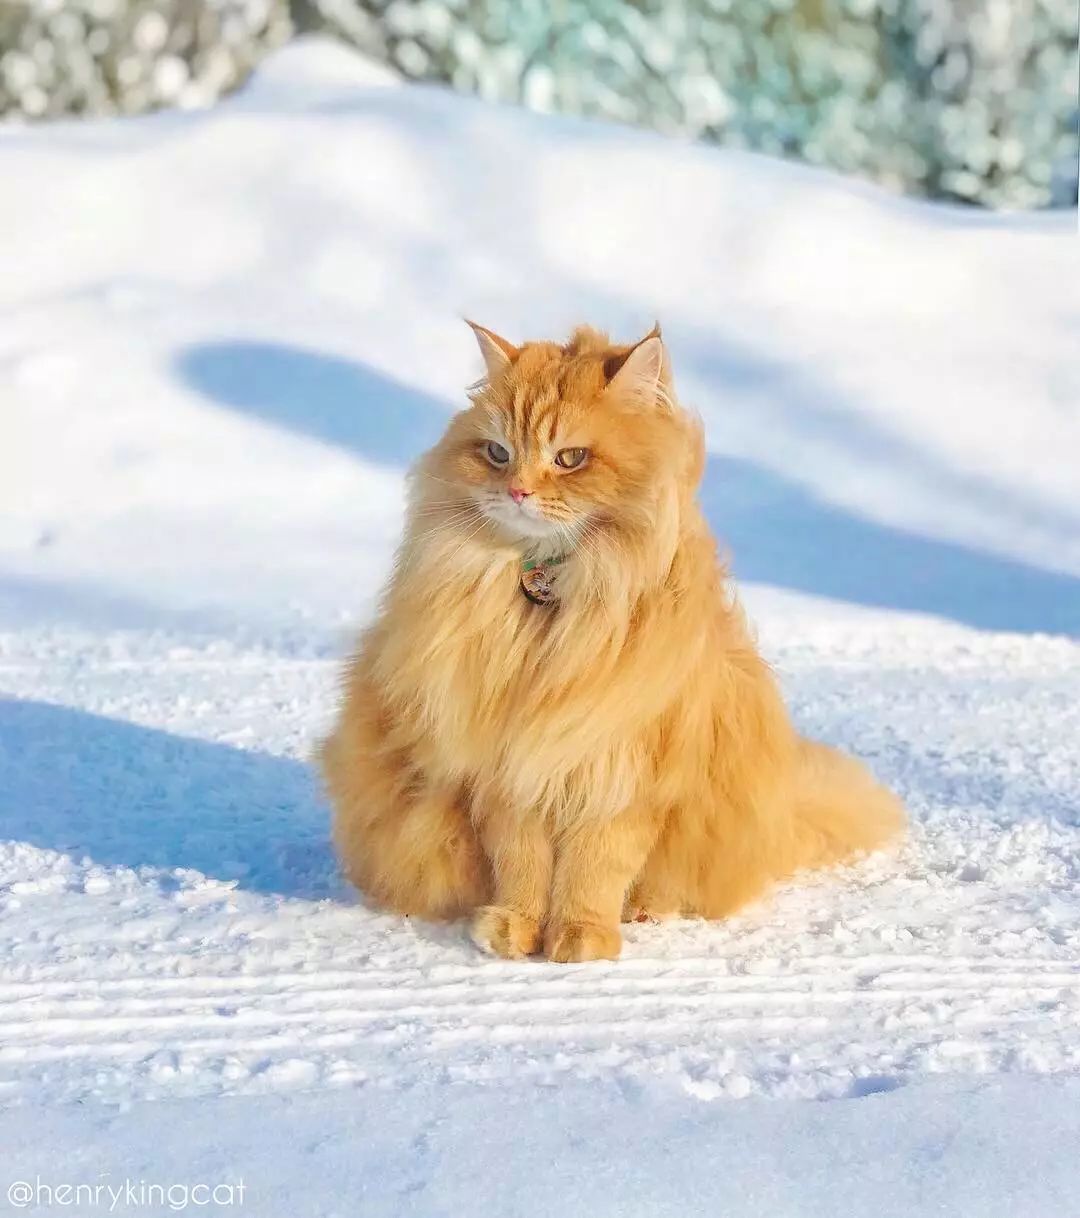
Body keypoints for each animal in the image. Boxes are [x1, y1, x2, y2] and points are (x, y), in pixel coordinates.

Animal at [321, 321, 905, 959]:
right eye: (498, 453)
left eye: (570, 458)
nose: (518, 491)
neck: (551, 600)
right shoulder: (507, 770)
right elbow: (522, 864)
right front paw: (516, 927)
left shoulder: (619, 767)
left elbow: (594, 866)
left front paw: (582, 935)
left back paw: (646, 911)